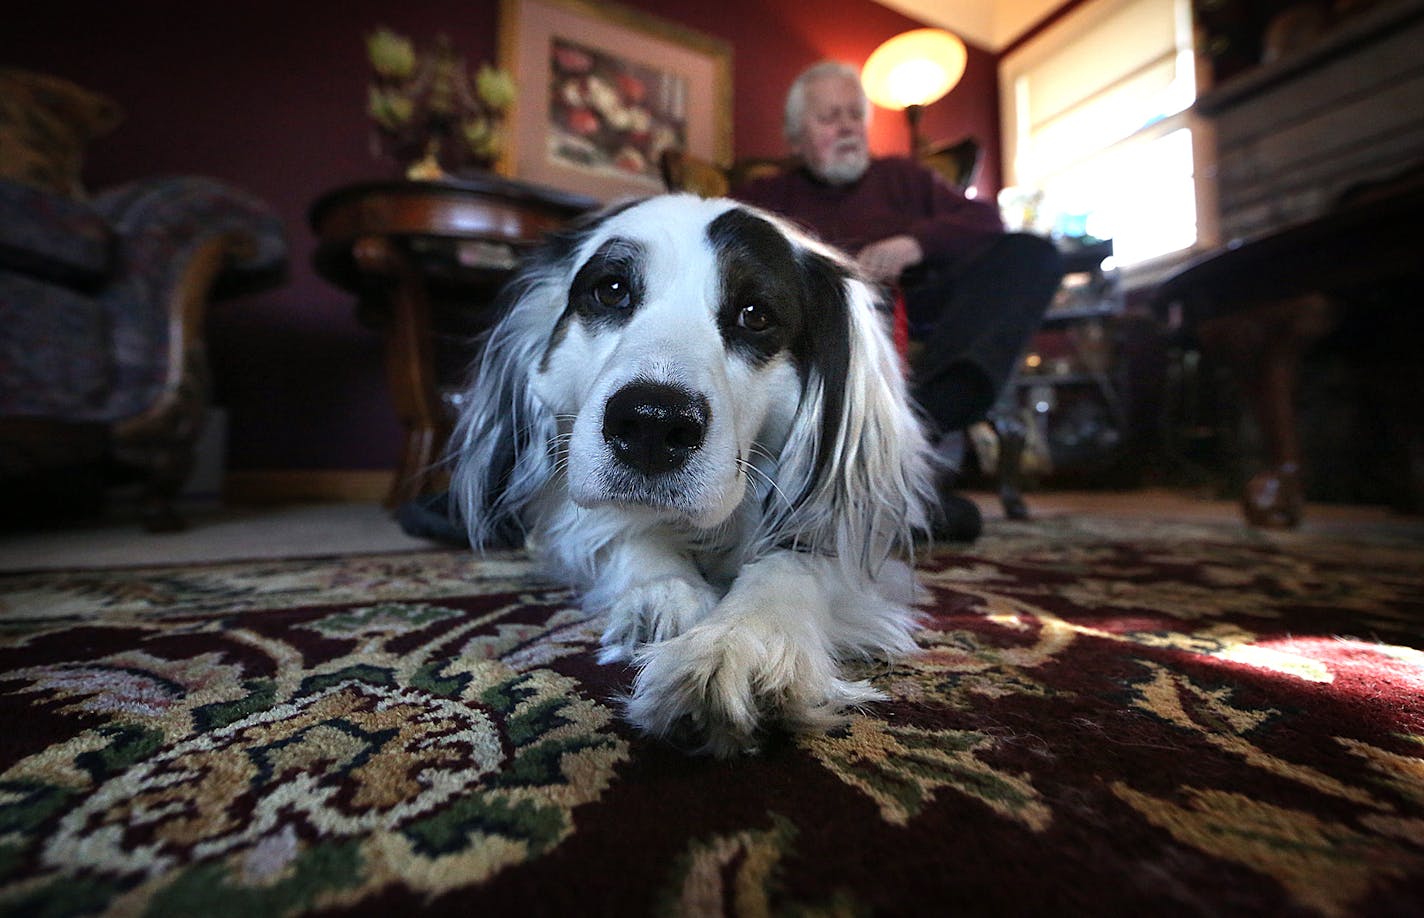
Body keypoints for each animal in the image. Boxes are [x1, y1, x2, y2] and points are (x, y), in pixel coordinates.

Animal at [447, 193, 934, 751]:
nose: (652, 422)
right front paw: (664, 594)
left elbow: (793, 563)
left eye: (755, 315)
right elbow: (624, 533)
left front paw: (736, 644)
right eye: (611, 290)